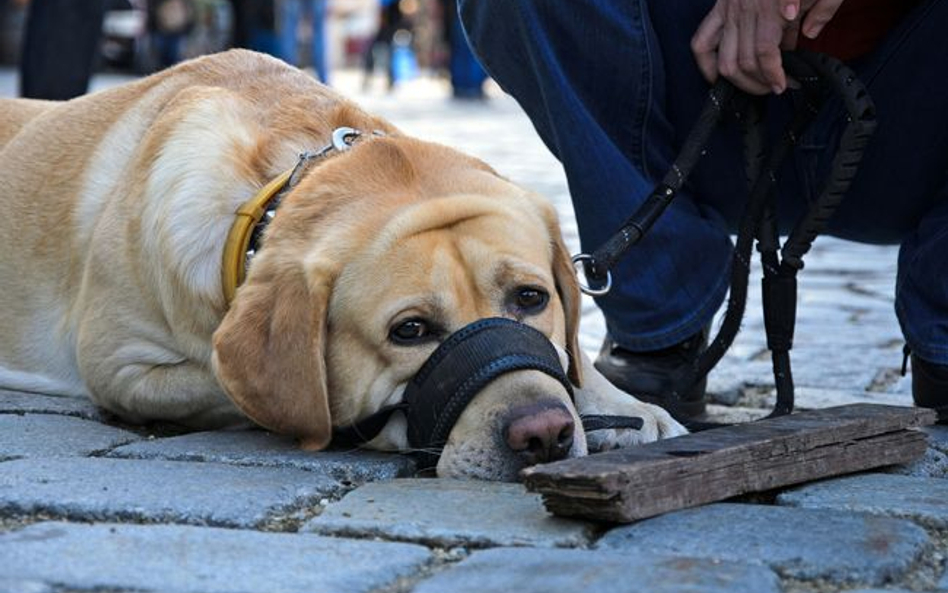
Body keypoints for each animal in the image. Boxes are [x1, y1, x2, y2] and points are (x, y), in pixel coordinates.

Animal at [0, 49, 684, 476]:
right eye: (409, 331)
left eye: (531, 298)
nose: (543, 434)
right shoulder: (121, 369)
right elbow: (241, 388)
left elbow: (567, 363)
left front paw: (628, 406)